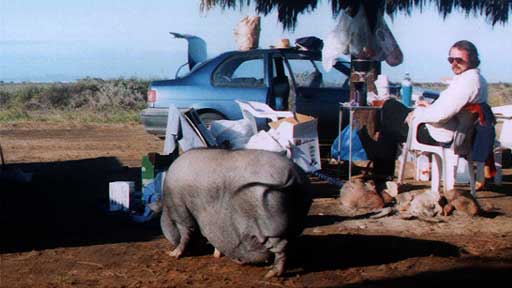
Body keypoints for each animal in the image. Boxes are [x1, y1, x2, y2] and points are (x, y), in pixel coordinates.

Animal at [160, 148, 312, 276]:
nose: (238, 260)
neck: (167, 207)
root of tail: (292, 174)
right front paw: (216, 255)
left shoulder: (181, 213)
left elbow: (185, 235)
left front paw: (172, 254)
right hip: (298, 214)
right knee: (290, 241)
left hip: (270, 226)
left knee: (282, 246)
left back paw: (271, 274)